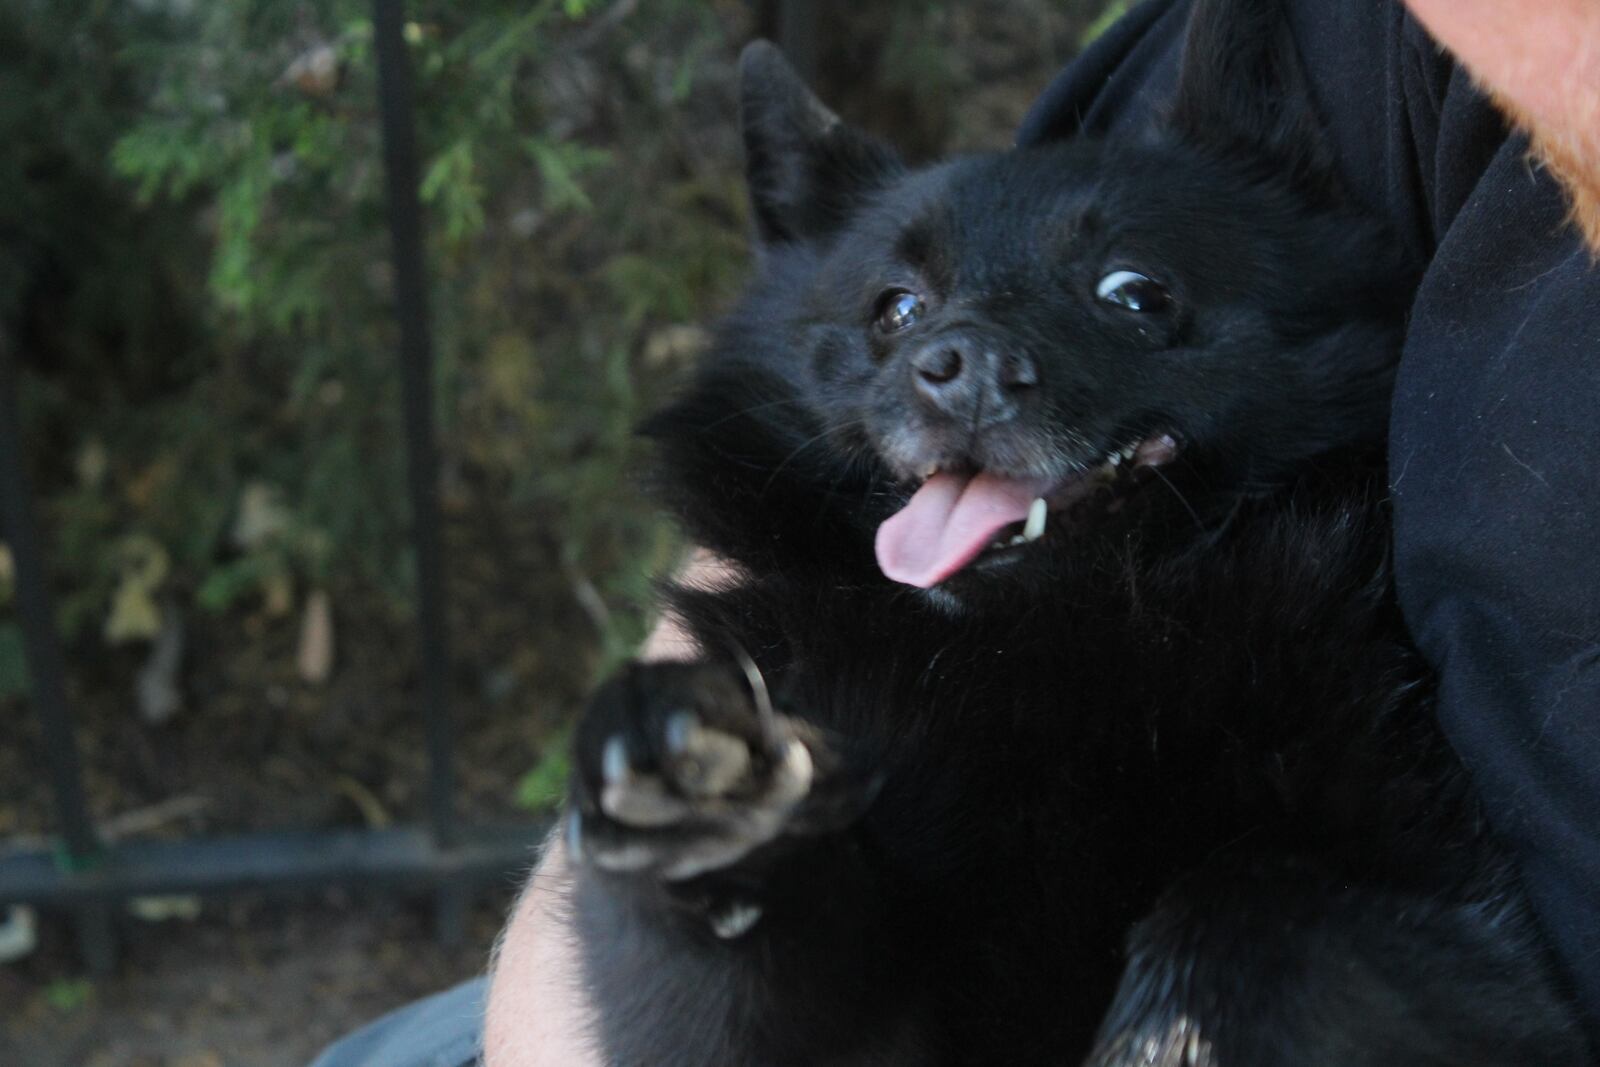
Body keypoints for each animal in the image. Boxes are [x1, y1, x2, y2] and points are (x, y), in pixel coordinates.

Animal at [560, 4, 1587, 1062]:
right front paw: (711, 792)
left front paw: (1172, 1030)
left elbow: (1254, 897)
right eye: (895, 308)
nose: (963, 365)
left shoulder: (1459, 922)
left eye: (1134, 291)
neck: (1046, 640)